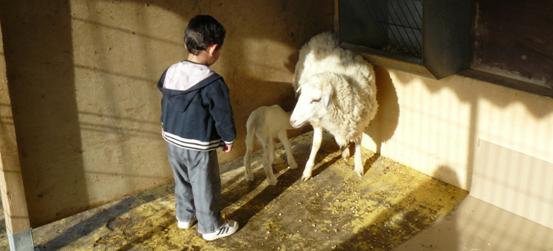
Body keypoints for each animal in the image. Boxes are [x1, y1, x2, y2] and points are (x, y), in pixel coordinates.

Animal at [288, 31, 376, 180]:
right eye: (301, 95)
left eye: (316, 100)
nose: (292, 121)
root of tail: (325, 34)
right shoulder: (317, 121)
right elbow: (316, 144)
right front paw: (307, 170)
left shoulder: (360, 122)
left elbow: (358, 142)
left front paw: (359, 166)